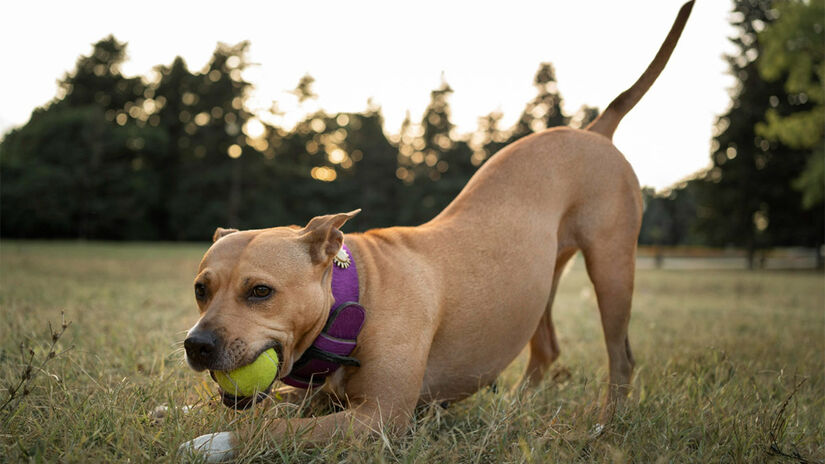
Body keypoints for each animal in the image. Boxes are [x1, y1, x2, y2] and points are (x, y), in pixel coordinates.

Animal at [180, 2, 696, 460]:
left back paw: (605, 425)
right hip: (541, 281)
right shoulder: (321, 398)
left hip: (612, 266)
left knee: (621, 356)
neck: (355, 295)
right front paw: (181, 412)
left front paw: (210, 443)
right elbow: (253, 410)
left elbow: (273, 429)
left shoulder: (379, 417)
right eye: (200, 290)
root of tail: (594, 130)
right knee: (547, 349)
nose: (197, 345)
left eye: (260, 291)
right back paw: (515, 412)